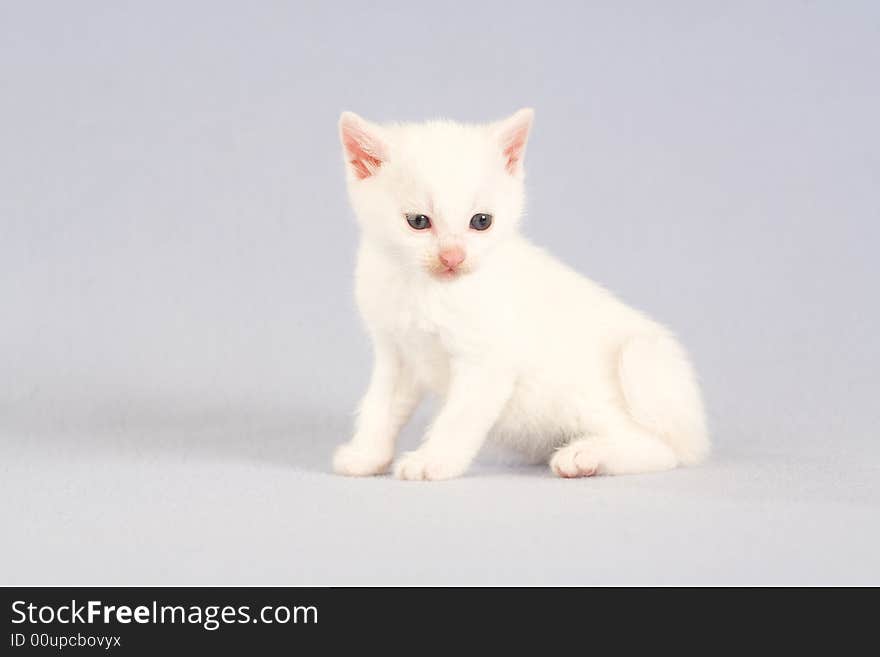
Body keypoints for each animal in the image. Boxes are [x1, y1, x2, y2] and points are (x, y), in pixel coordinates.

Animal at [330, 106, 708, 476]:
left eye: (481, 221)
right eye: (418, 221)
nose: (453, 256)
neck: (425, 290)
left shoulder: (487, 363)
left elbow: (458, 418)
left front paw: (433, 460)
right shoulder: (397, 354)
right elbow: (380, 406)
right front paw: (366, 455)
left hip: (624, 367)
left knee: (660, 448)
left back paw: (585, 456)